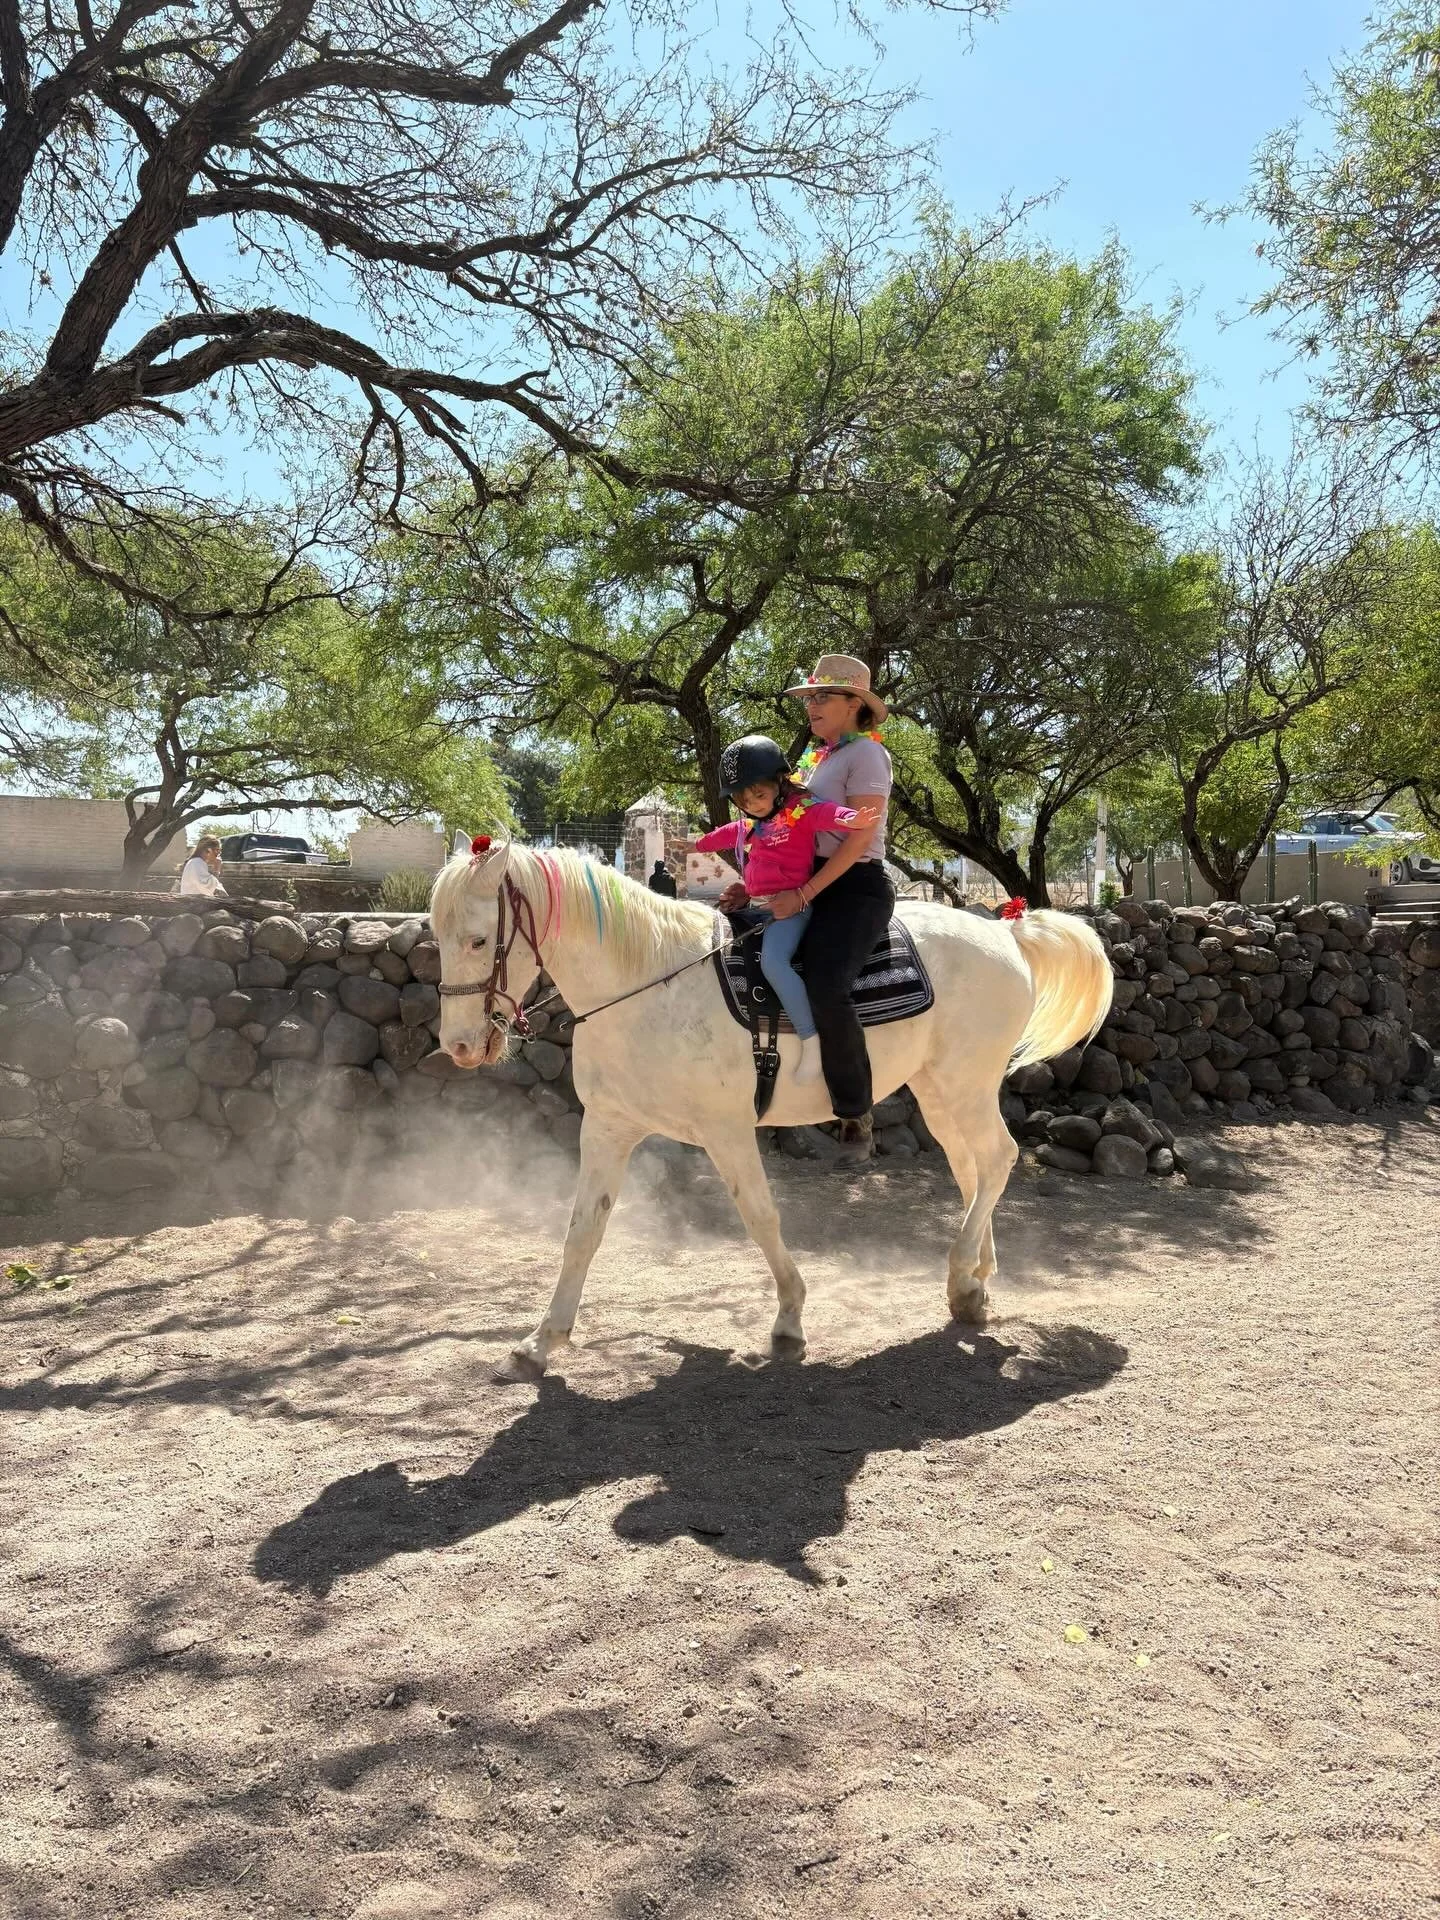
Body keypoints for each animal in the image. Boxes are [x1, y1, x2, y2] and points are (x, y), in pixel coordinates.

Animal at [430, 834, 1112, 1381]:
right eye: (437, 938)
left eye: (480, 939)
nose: (459, 1045)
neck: (651, 985)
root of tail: (1005, 932)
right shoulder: (607, 1128)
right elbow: (582, 1232)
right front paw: (541, 1342)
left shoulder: (726, 1131)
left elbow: (760, 1218)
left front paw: (789, 1320)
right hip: (942, 1095)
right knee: (974, 1170)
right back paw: (974, 1282)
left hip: (964, 1085)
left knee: (998, 1159)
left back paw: (963, 1273)